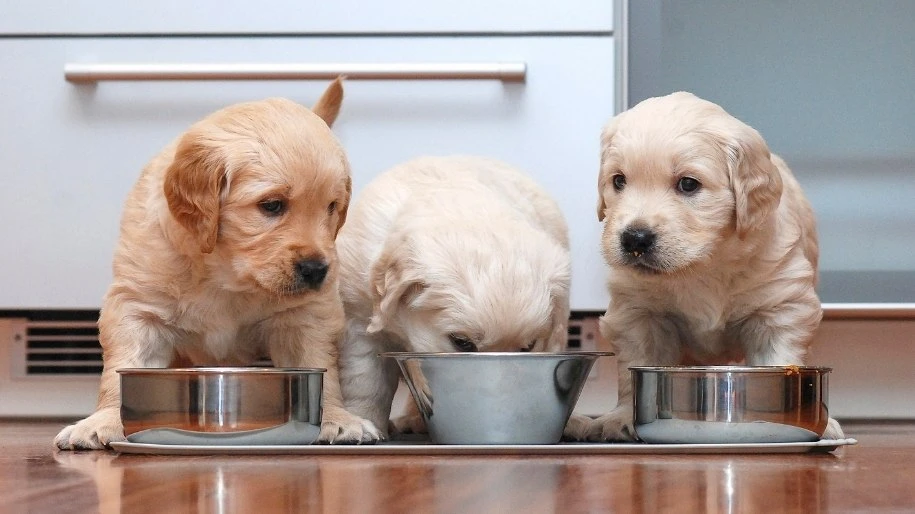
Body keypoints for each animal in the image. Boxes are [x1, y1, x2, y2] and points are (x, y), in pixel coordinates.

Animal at [53, 79, 382, 448]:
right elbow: (121, 368)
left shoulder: (305, 314)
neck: (225, 273)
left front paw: (337, 418)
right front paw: (104, 420)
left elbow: (317, 364)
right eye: (271, 205)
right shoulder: (138, 306)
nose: (317, 270)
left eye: (332, 207)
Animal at [588, 91, 844, 440]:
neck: (704, 265)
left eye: (688, 184)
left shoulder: (780, 307)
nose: (634, 239)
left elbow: (780, 357)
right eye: (618, 181)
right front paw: (622, 417)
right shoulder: (637, 313)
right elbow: (633, 370)